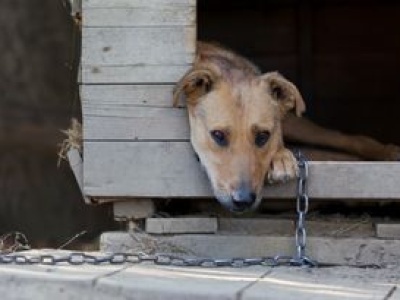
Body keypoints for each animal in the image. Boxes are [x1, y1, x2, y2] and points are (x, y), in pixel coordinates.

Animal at [173, 41, 400, 213]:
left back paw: (388, 154)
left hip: (299, 124)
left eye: (263, 136)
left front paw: (281, 157)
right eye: (218, 135)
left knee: (347, 139)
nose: (243, 200)